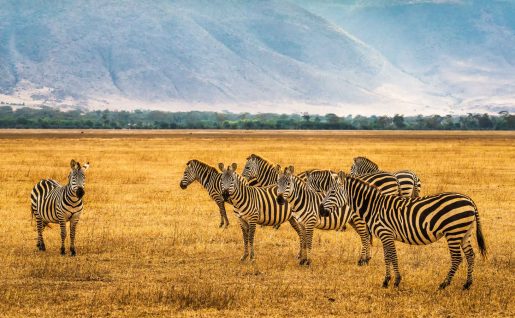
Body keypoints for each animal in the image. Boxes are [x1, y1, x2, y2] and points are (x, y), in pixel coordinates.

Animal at [322, 173, 488, 290]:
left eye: (332, 193)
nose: (321, 210)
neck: (374, 206)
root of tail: (469, 200)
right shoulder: (384, 235)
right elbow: (387, 257)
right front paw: (386, 281)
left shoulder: (386, 234)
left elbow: (393, 257)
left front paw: (396, 281)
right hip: (464, 232)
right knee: (471, 255)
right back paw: (467, 284)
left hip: (453, 232)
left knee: (457, 258)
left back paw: (444, 284)